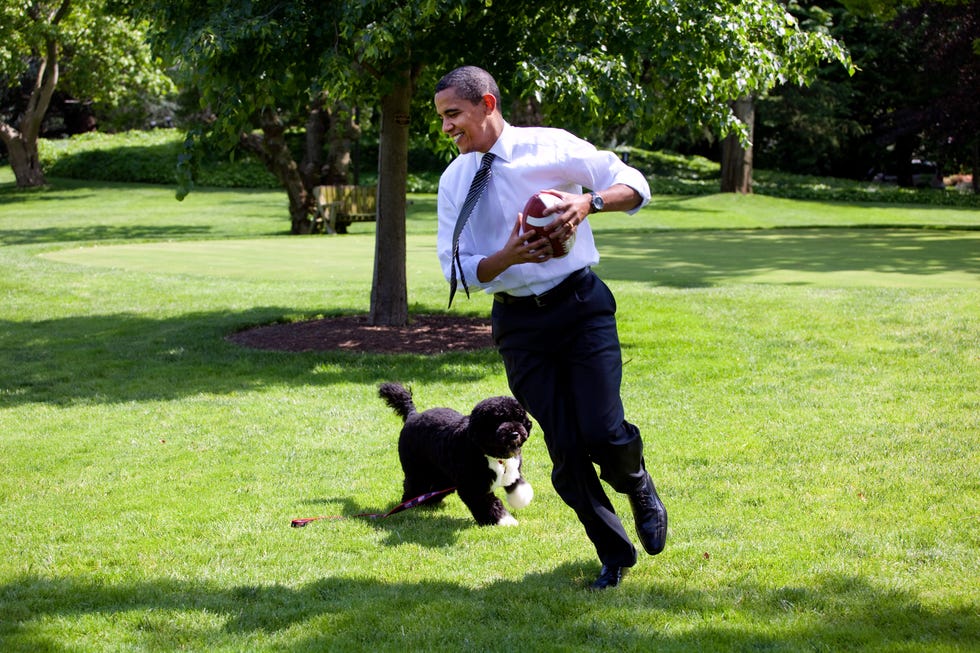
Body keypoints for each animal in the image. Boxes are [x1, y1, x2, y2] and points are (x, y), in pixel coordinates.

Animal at [378, 382, 532, 524]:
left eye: (518, 418)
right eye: (497, 421)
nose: (514, 434)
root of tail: (412, 415)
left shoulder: (513, 469)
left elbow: (517, 486)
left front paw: (521, 499)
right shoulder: (473, 487)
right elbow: (490, 504)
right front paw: (504, 521)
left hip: (443, 475)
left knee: (434, 488)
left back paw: (429, 502)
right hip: (417, 469)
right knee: (413, 486)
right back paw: (408, 504)